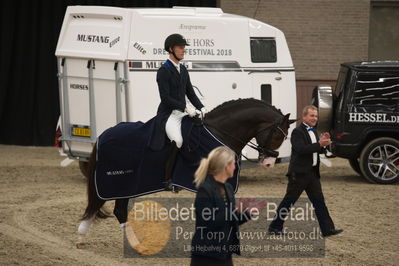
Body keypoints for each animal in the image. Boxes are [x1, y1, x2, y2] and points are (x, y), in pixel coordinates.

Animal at [76, 98, 296, 246]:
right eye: (277, 135)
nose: (269, 162)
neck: (219, 134)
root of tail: (104, 134)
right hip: (118, 182)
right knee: (112, 207)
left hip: (127, 186)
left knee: (117, 210)